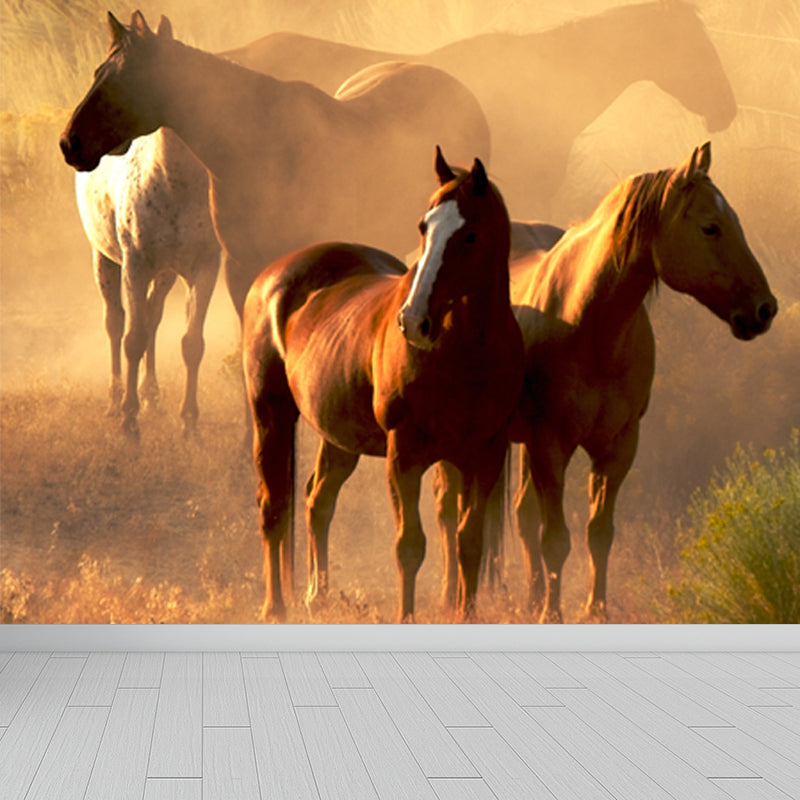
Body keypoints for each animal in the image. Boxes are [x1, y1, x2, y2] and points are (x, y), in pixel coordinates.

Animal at [74, 127, 219, 436]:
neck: (175, 183)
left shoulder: (204, 268)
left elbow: (192, 343)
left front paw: (189, 422)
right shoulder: (135, 265)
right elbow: (133, 339)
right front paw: (129, 419)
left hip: (165, 274)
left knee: (152, 317)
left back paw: (151, 394)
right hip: (104, 260)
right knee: (115, 322)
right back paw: (115, 400)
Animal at [242, 148, 523, 622]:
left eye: (470, 235)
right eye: (424, 226)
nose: (414, 320)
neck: (467, 354)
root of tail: (272, 278)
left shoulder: (483, 454)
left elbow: (469, 542)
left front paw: (464, 614)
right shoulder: (403, 455)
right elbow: (409, 546)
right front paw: (406, 617)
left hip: (338, 437)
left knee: (318, 500)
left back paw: (317, 594)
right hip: (271, 416)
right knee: (273, 508)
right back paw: (274, 607)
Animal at [436, 142, 777, 623]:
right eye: (711, 227)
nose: (765, 308)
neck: (590, 323)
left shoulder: (617, 447)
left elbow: (598, 532)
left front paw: (593, 610)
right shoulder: (551, 444)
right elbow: (555, 538)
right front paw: (552, 614)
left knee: (521, 516)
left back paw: (530, 597)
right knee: (449, 513)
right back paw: (452, 596)